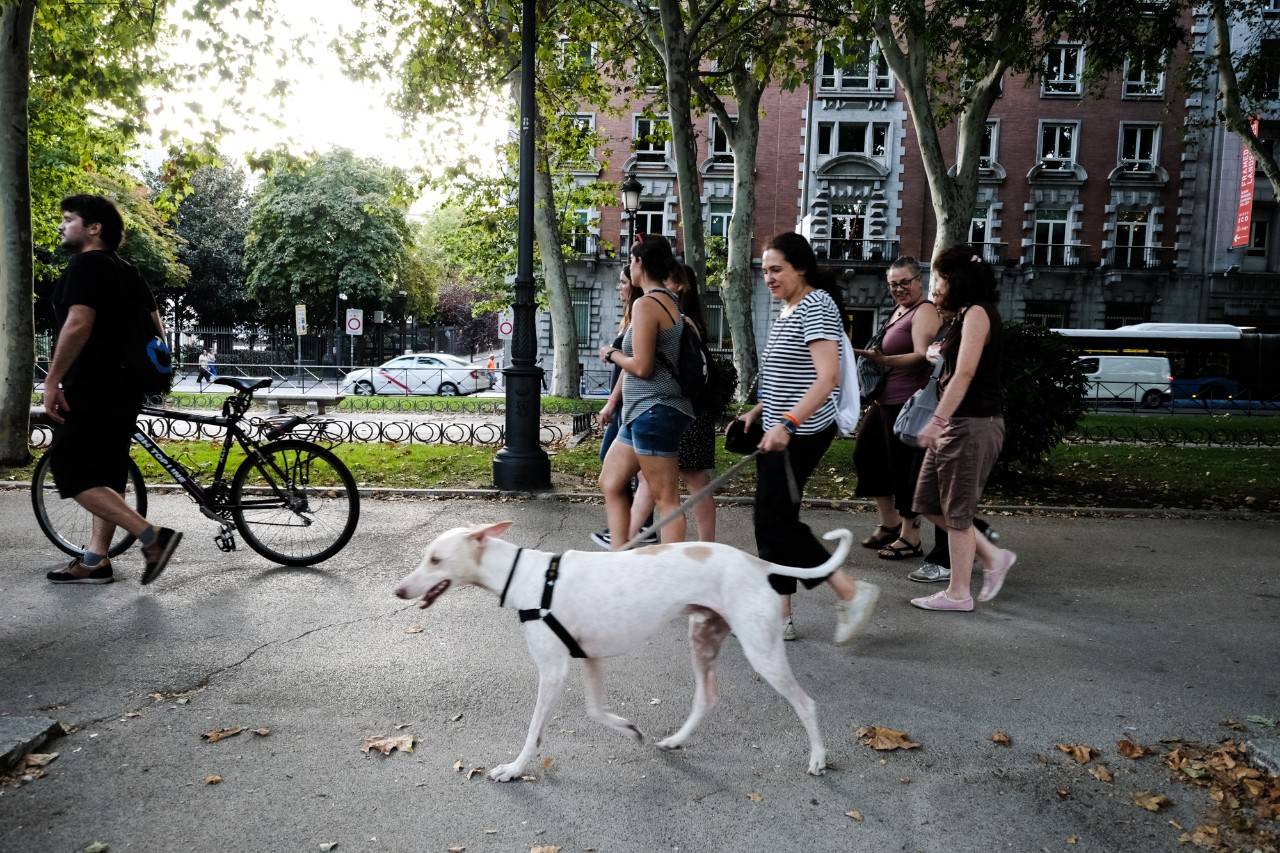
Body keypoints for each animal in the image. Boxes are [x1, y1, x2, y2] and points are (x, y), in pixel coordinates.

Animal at [389, 517, 849, 778]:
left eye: (434, 559)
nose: (398, 591)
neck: (530, 578)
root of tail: (758, 563)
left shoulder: (554, 671)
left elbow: (534, 730)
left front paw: (515, 769)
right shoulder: (590, 659)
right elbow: (596, 711)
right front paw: (629, 729)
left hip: (762, 651)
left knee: (805, 703)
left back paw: (818, 758)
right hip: (703, 638)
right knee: (706, 697)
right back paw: (675, 740)